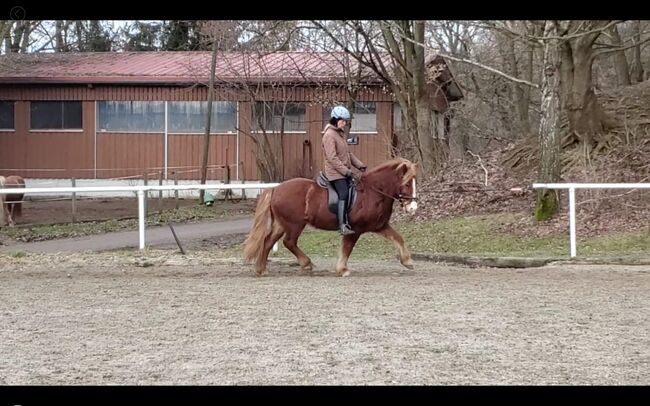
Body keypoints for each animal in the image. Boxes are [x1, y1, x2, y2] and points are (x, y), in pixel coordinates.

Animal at [240, 158, 418, 276]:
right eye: (407, 184)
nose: (413, 208)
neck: (373, 192)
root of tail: (275, 189)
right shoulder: (355, 229)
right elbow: (347, 248)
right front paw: (343, 270)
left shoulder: (379, 226)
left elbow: (398, 238)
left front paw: (408, 261)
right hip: (294, 225)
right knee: (289, 242)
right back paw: (305, 263)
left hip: (281, 224)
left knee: (269, 242)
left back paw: (262, 269)